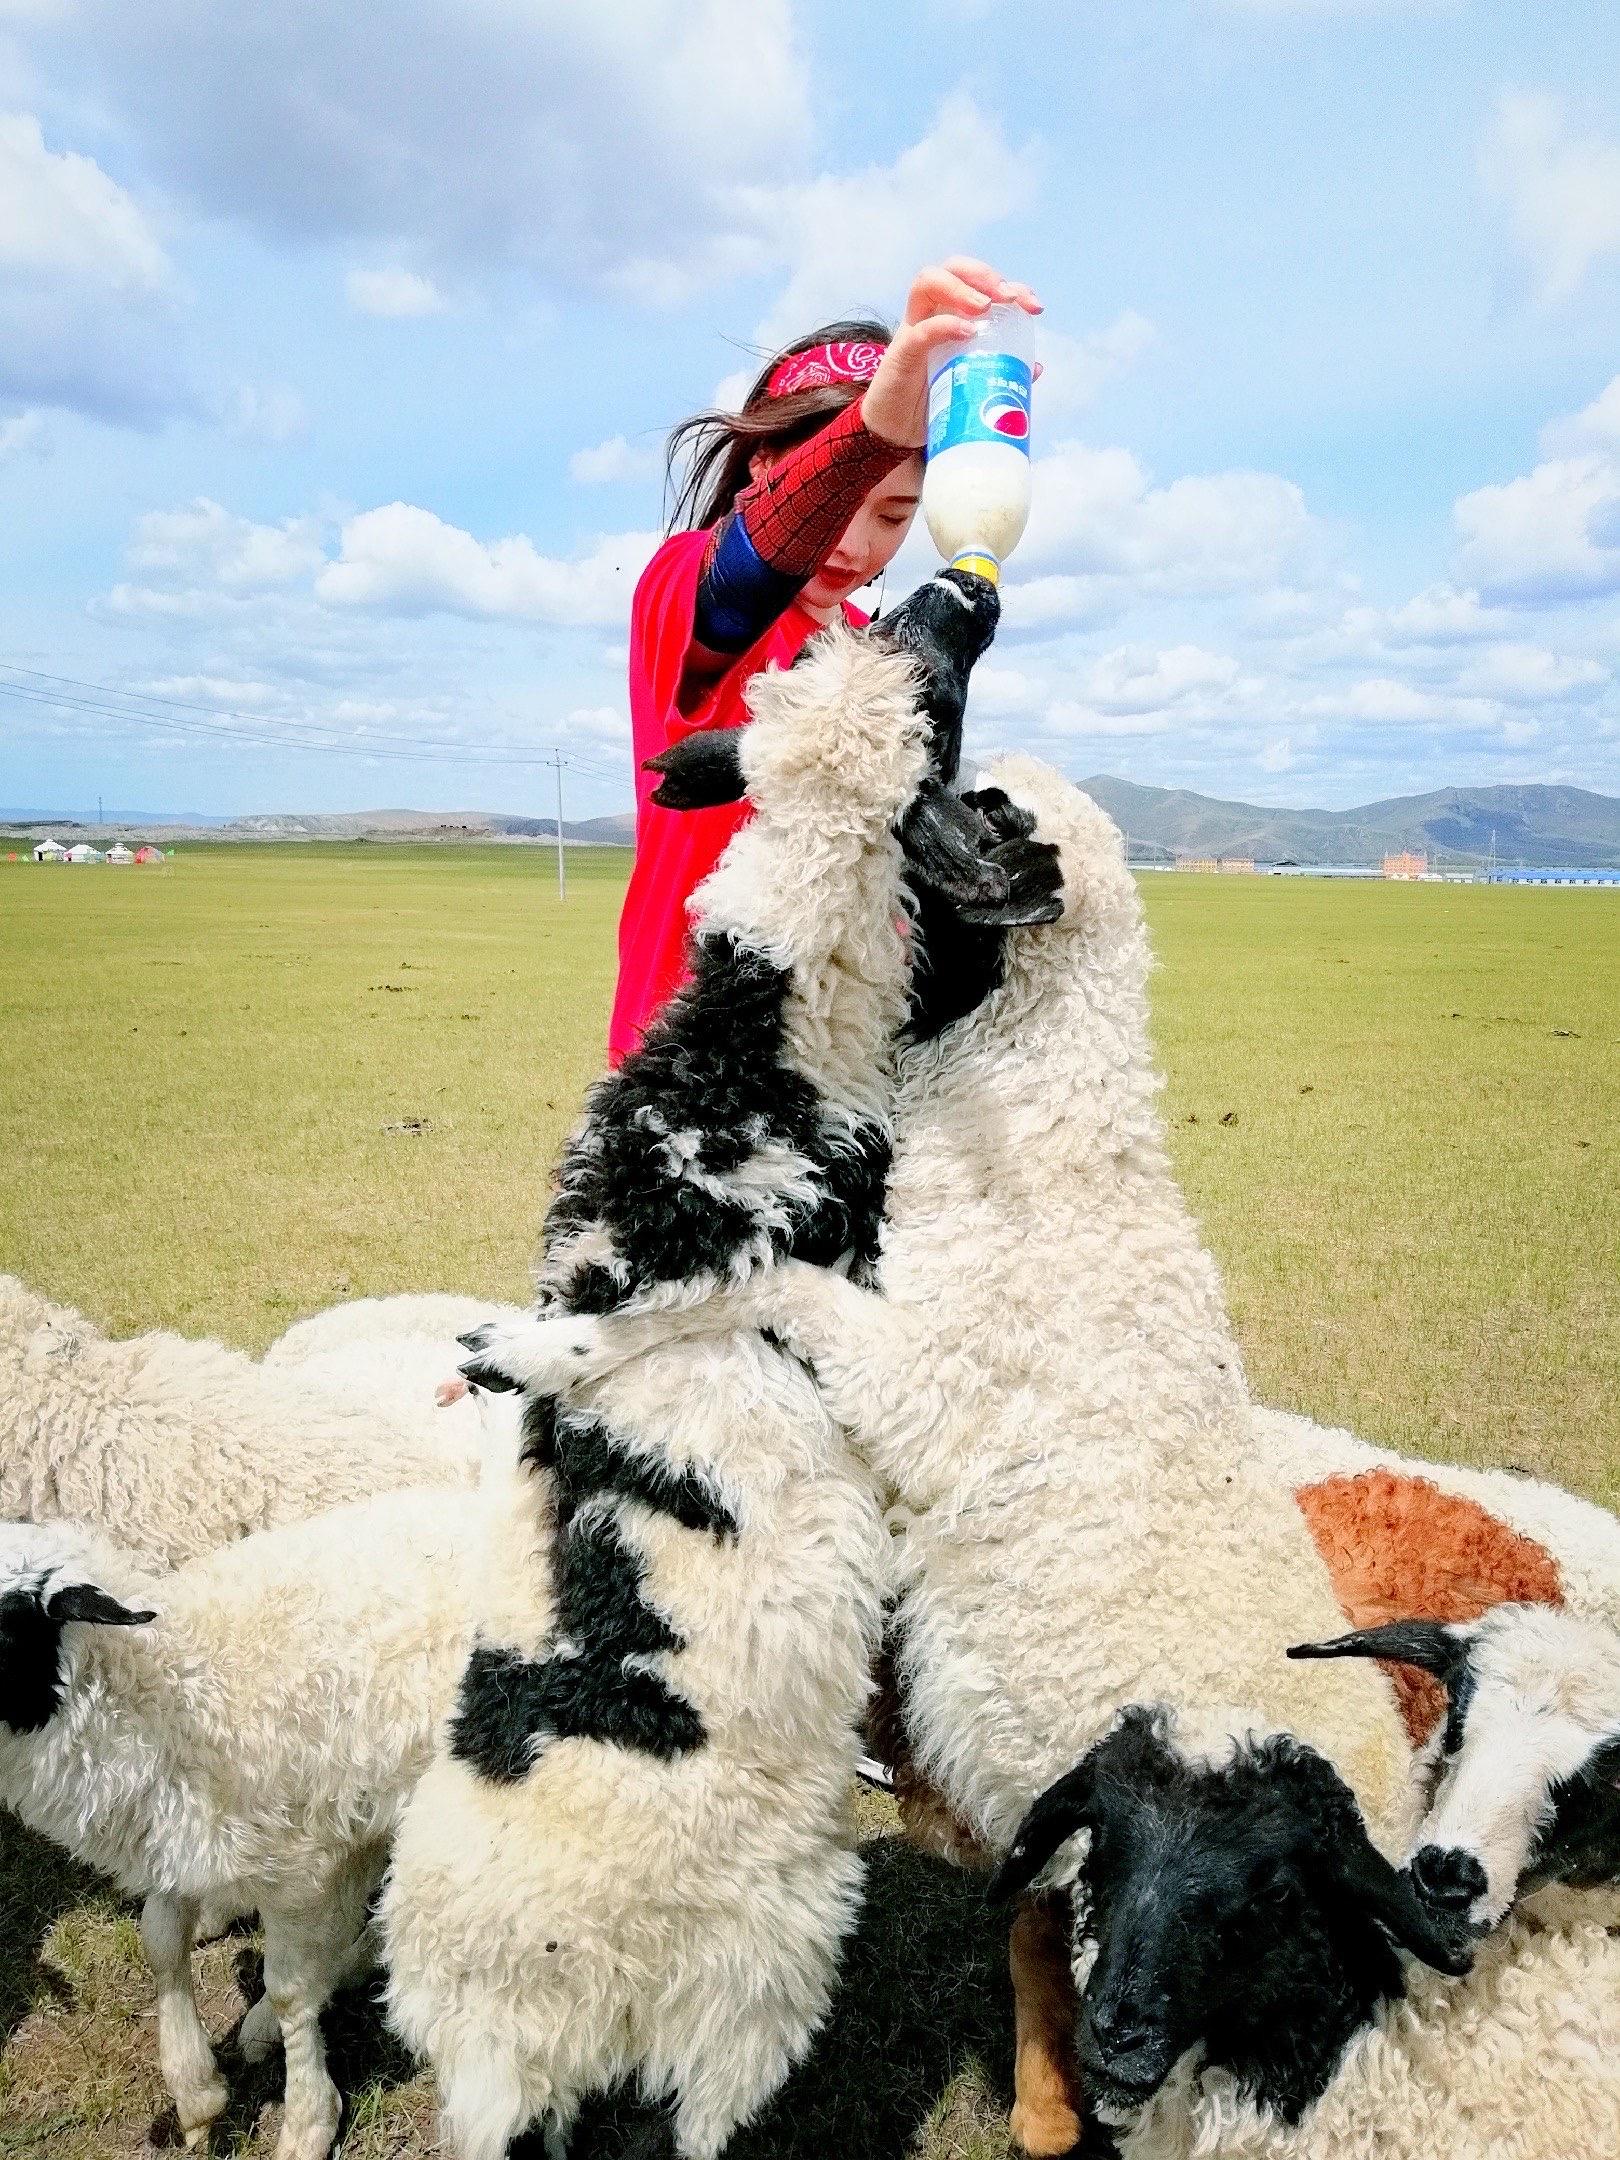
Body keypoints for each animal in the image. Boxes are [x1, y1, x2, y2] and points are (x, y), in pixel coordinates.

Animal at [0, 1494, 488, 2160]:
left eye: (2, 1625)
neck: (172, 1691)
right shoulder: (183, 1836)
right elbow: (158, 1940)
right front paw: (196, 2092)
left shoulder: (301, 1866)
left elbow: (288, 1989)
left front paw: (307, 2121)